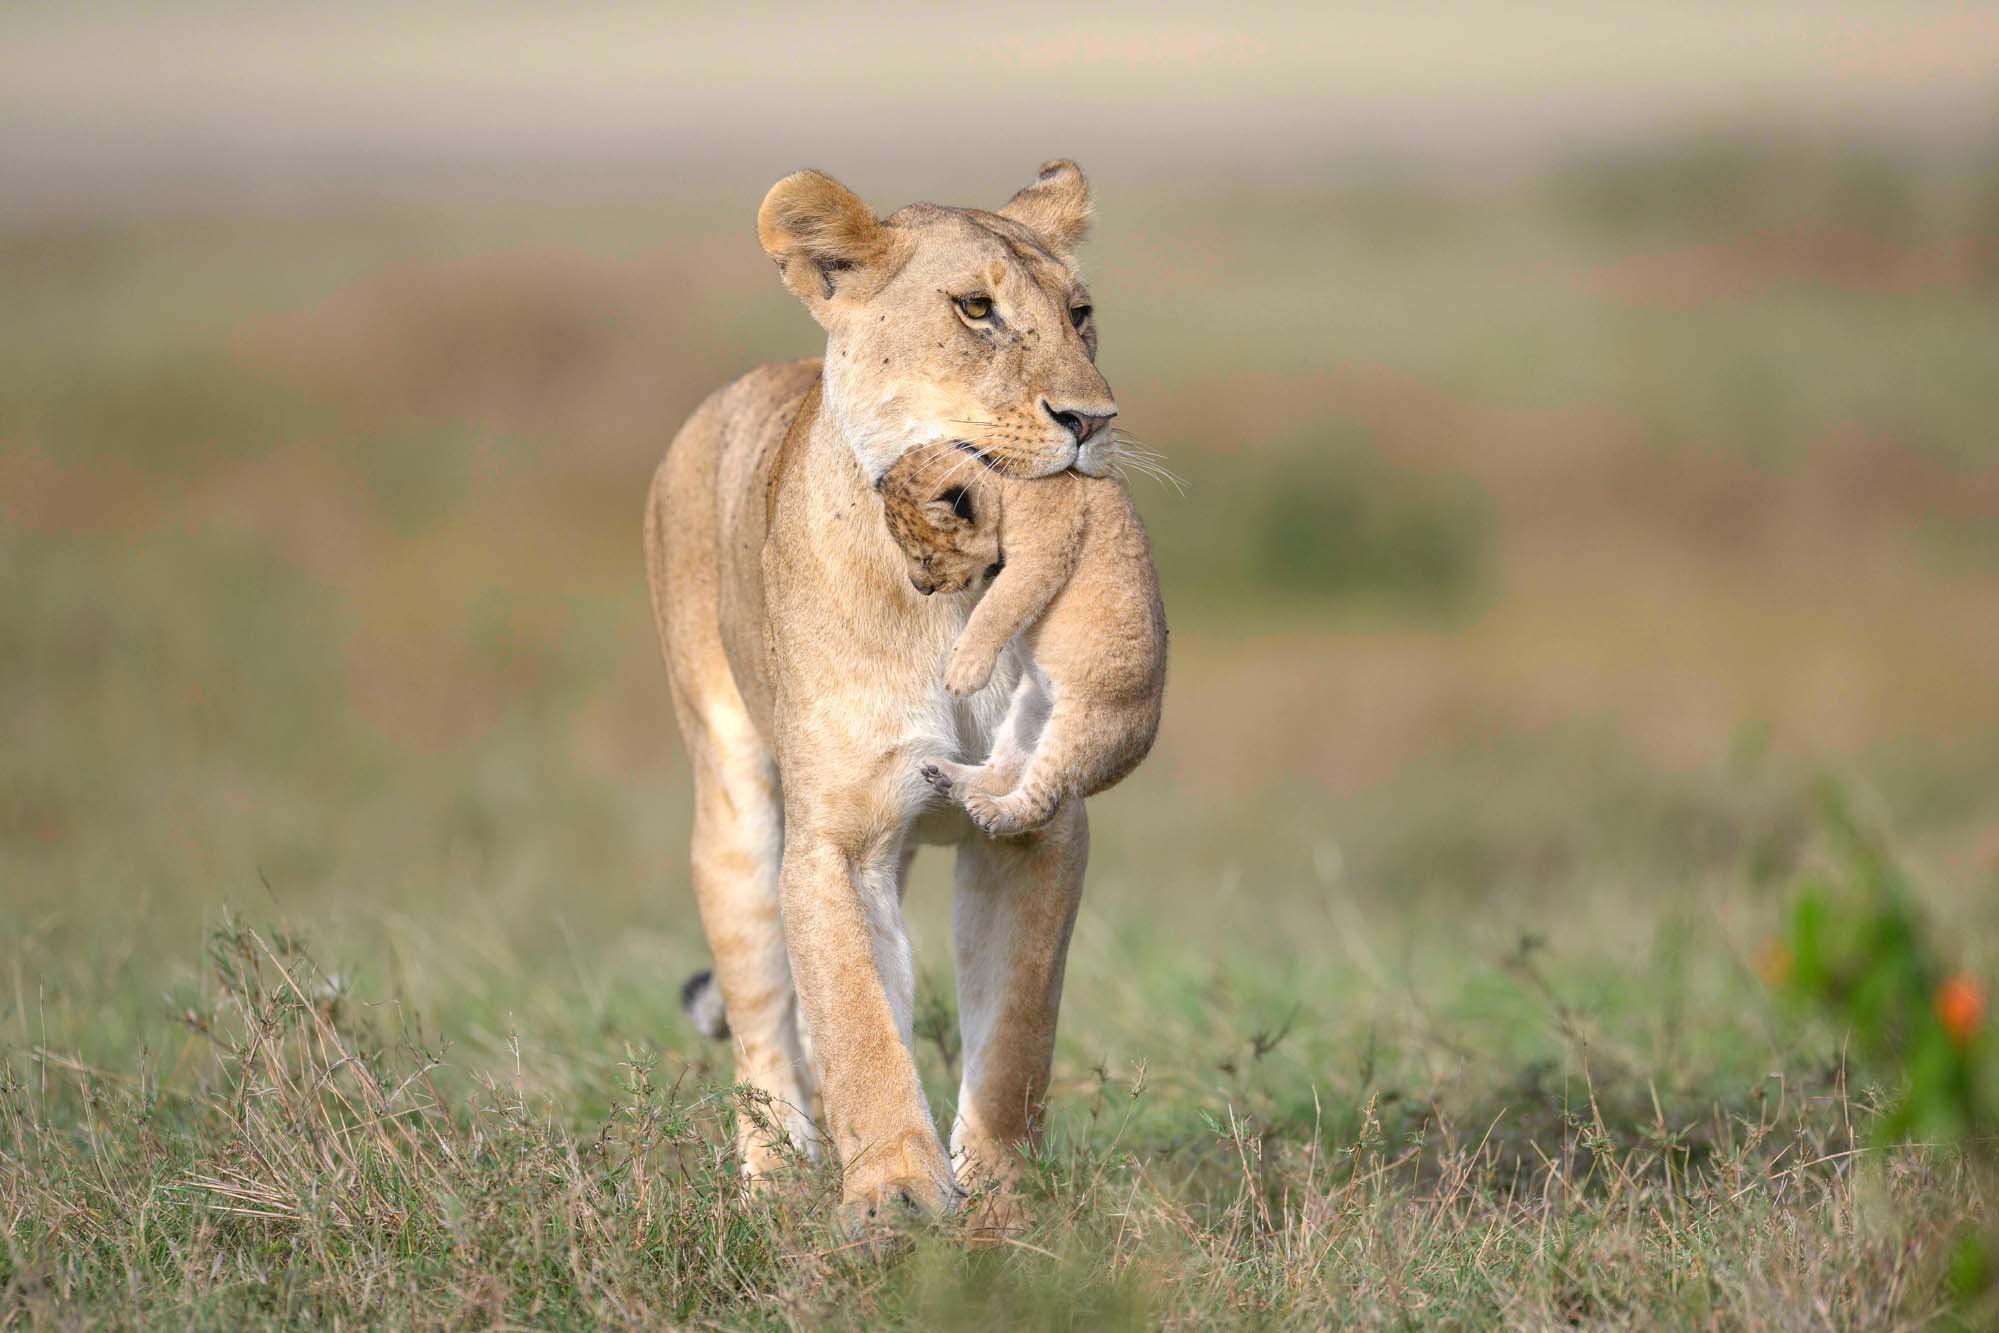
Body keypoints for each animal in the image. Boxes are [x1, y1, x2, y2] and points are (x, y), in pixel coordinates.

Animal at [873, 442, 1166, 838]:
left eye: (925, 558)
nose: (921, 589)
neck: (1003, 480)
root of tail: (1137, 755)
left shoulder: (1041, 553)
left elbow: (995, 610)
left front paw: (961, 673)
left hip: (1082, 727)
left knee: (1043, 800)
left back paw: (992, 812)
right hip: (1029, 708)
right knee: (1006, 771)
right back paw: (946, 776)